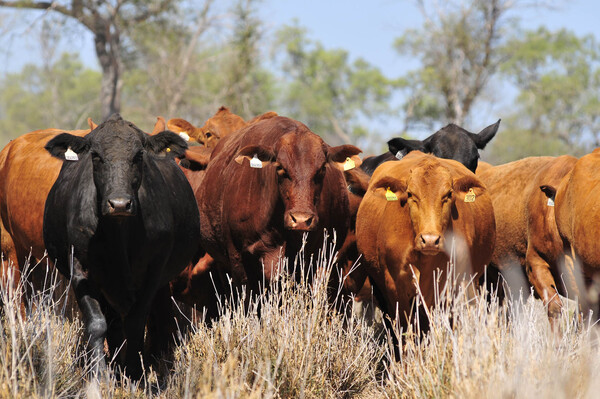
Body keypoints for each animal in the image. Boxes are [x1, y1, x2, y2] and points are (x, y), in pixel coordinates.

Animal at [43, 114, 202, 380]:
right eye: (96, 156)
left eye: (138, 156)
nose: (119, 204)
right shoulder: (80, 269)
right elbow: (97, 323)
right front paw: (99, 374)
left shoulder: (154, 270)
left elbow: (136, 322)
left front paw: (135, 372)